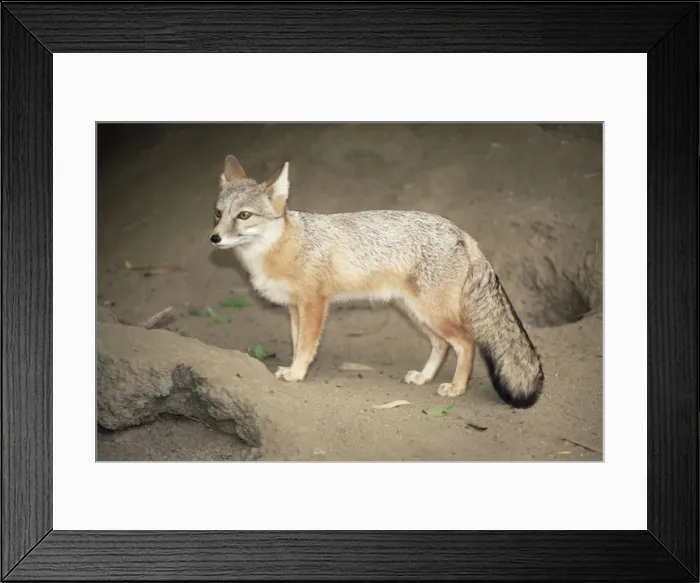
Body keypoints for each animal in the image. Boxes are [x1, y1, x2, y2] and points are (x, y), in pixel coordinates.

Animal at [209, 154, 544, 408]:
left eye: (244, 215)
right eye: (218, 213)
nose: (214, 238)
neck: (282, 246)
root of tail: (459, 231)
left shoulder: (314, 304)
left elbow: (305, 346)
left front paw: (296, 373)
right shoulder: (294, 308)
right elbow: (296, 342)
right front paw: (294, 368)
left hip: (433, 314)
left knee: (466, 342)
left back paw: (456, 388)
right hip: (418, 313)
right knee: (441, 345)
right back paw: (424, 377)